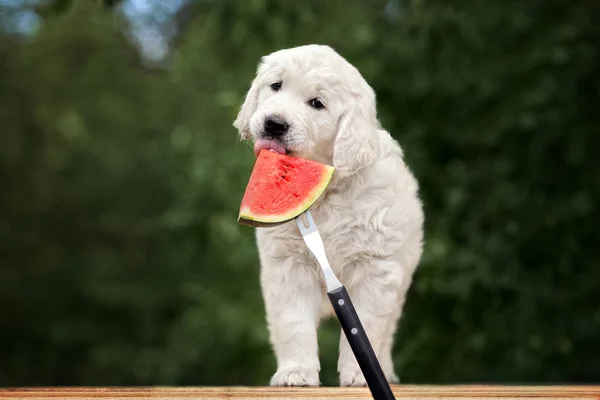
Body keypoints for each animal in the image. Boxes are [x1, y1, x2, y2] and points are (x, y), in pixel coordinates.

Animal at [232, 44, 424, 388]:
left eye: (317, 103)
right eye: (276, 86)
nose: (274, 124)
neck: (327, 190)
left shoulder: (375, 270)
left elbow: (367, 327)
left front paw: (361, 375)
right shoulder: (288, 267)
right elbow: (293, 324)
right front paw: (295, 372)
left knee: (387, 332)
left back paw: (386, 371)